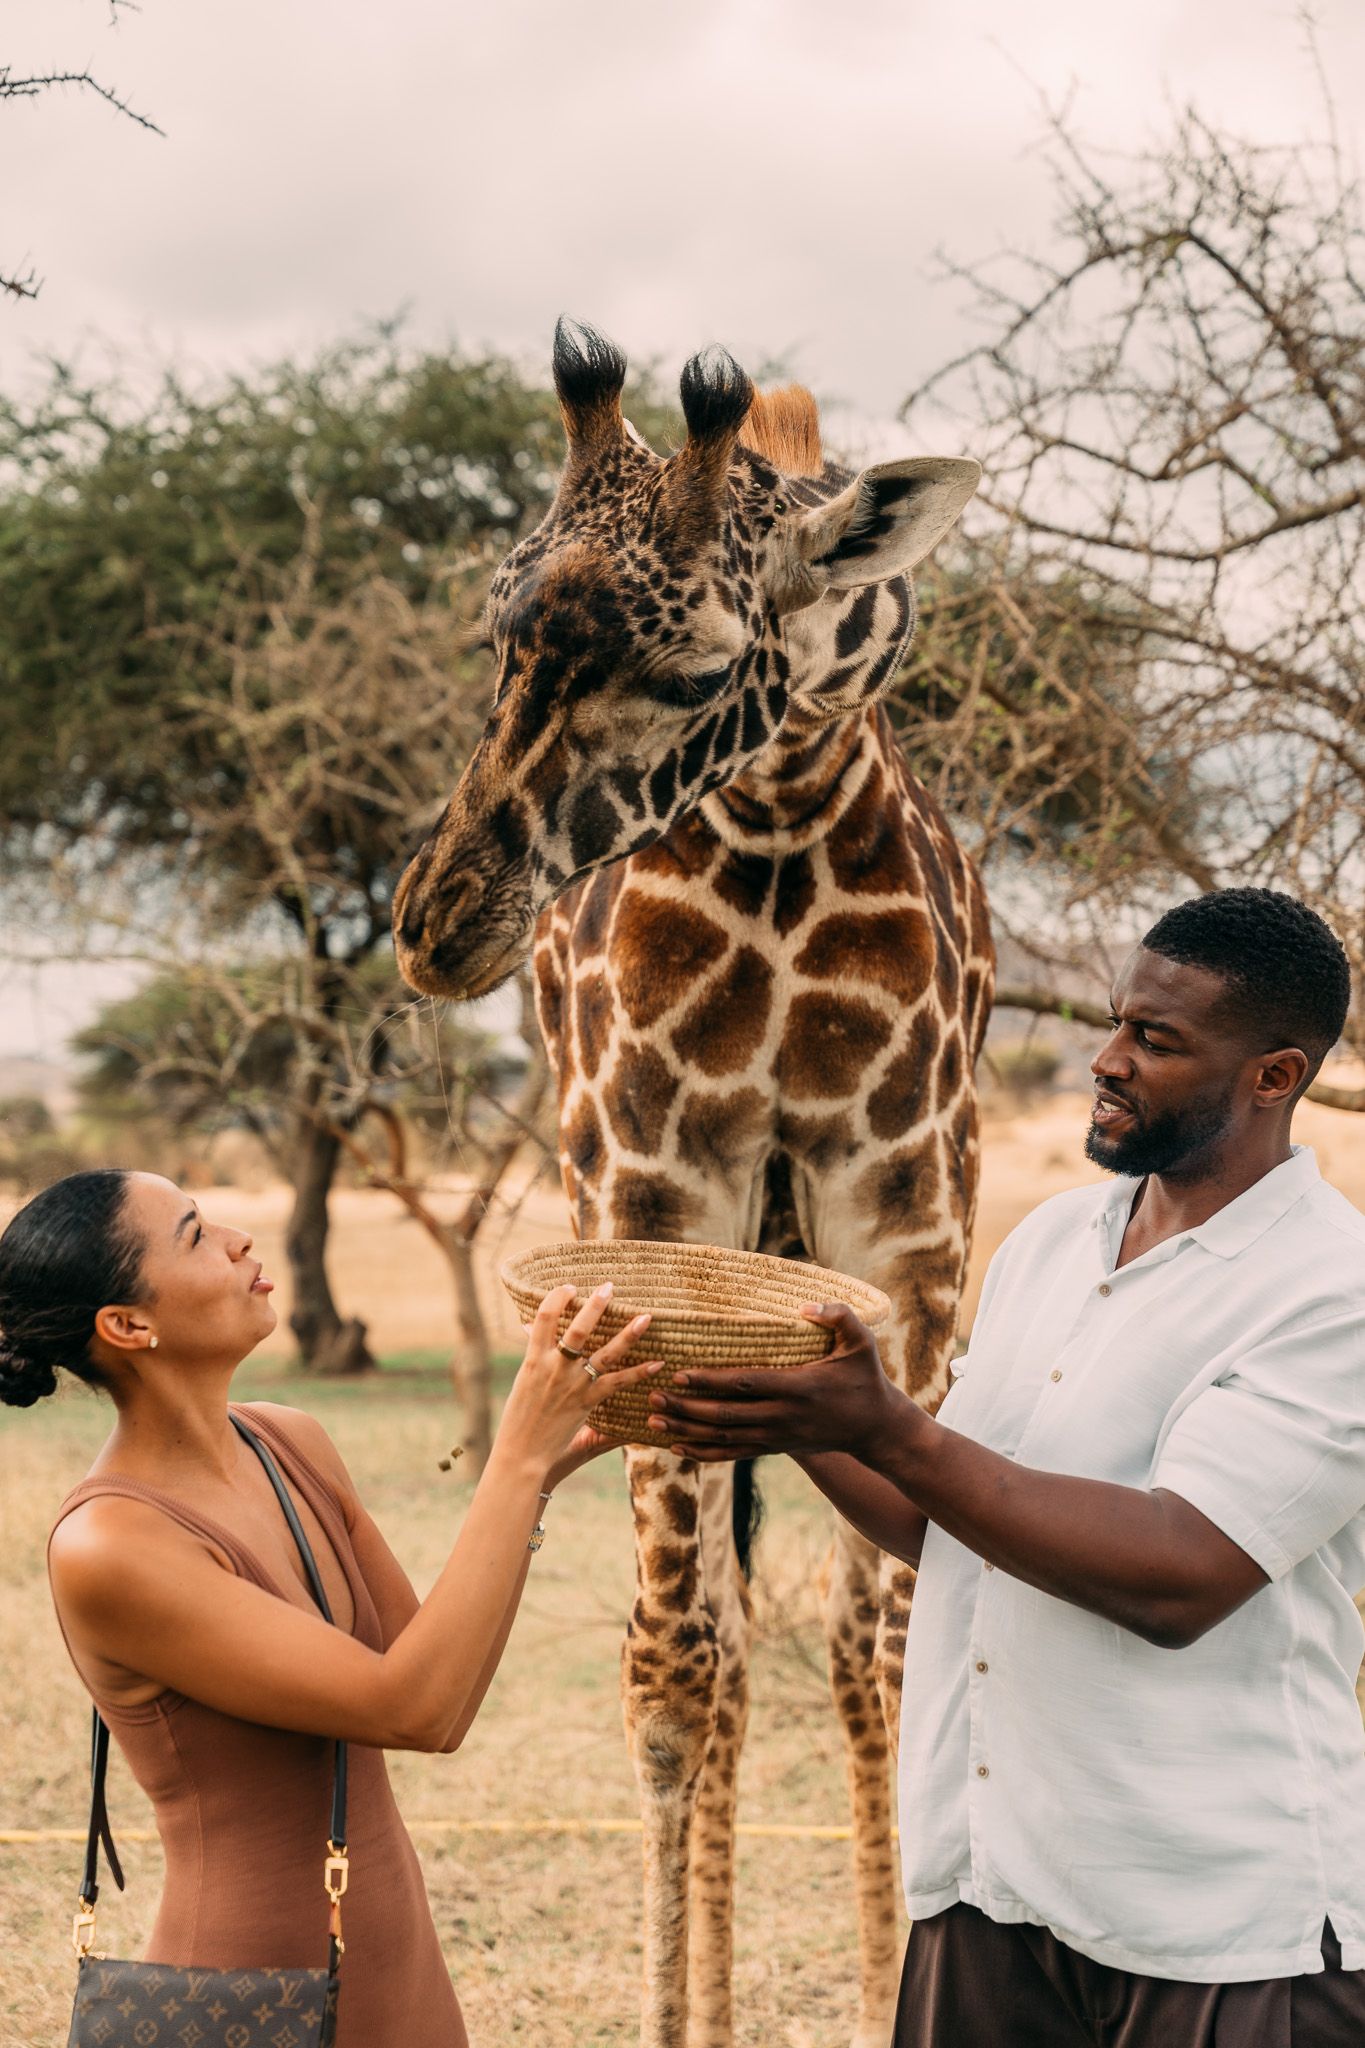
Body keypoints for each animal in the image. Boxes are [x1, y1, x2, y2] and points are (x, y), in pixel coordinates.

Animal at [392, 322, 994, 2048]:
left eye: (686, 672)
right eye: (497, 631)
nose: (433, 922)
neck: (785, 817)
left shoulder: (910, 1245)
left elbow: (881, 1651)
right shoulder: (651, 1203)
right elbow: (673, 1671)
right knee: (706, 1651)